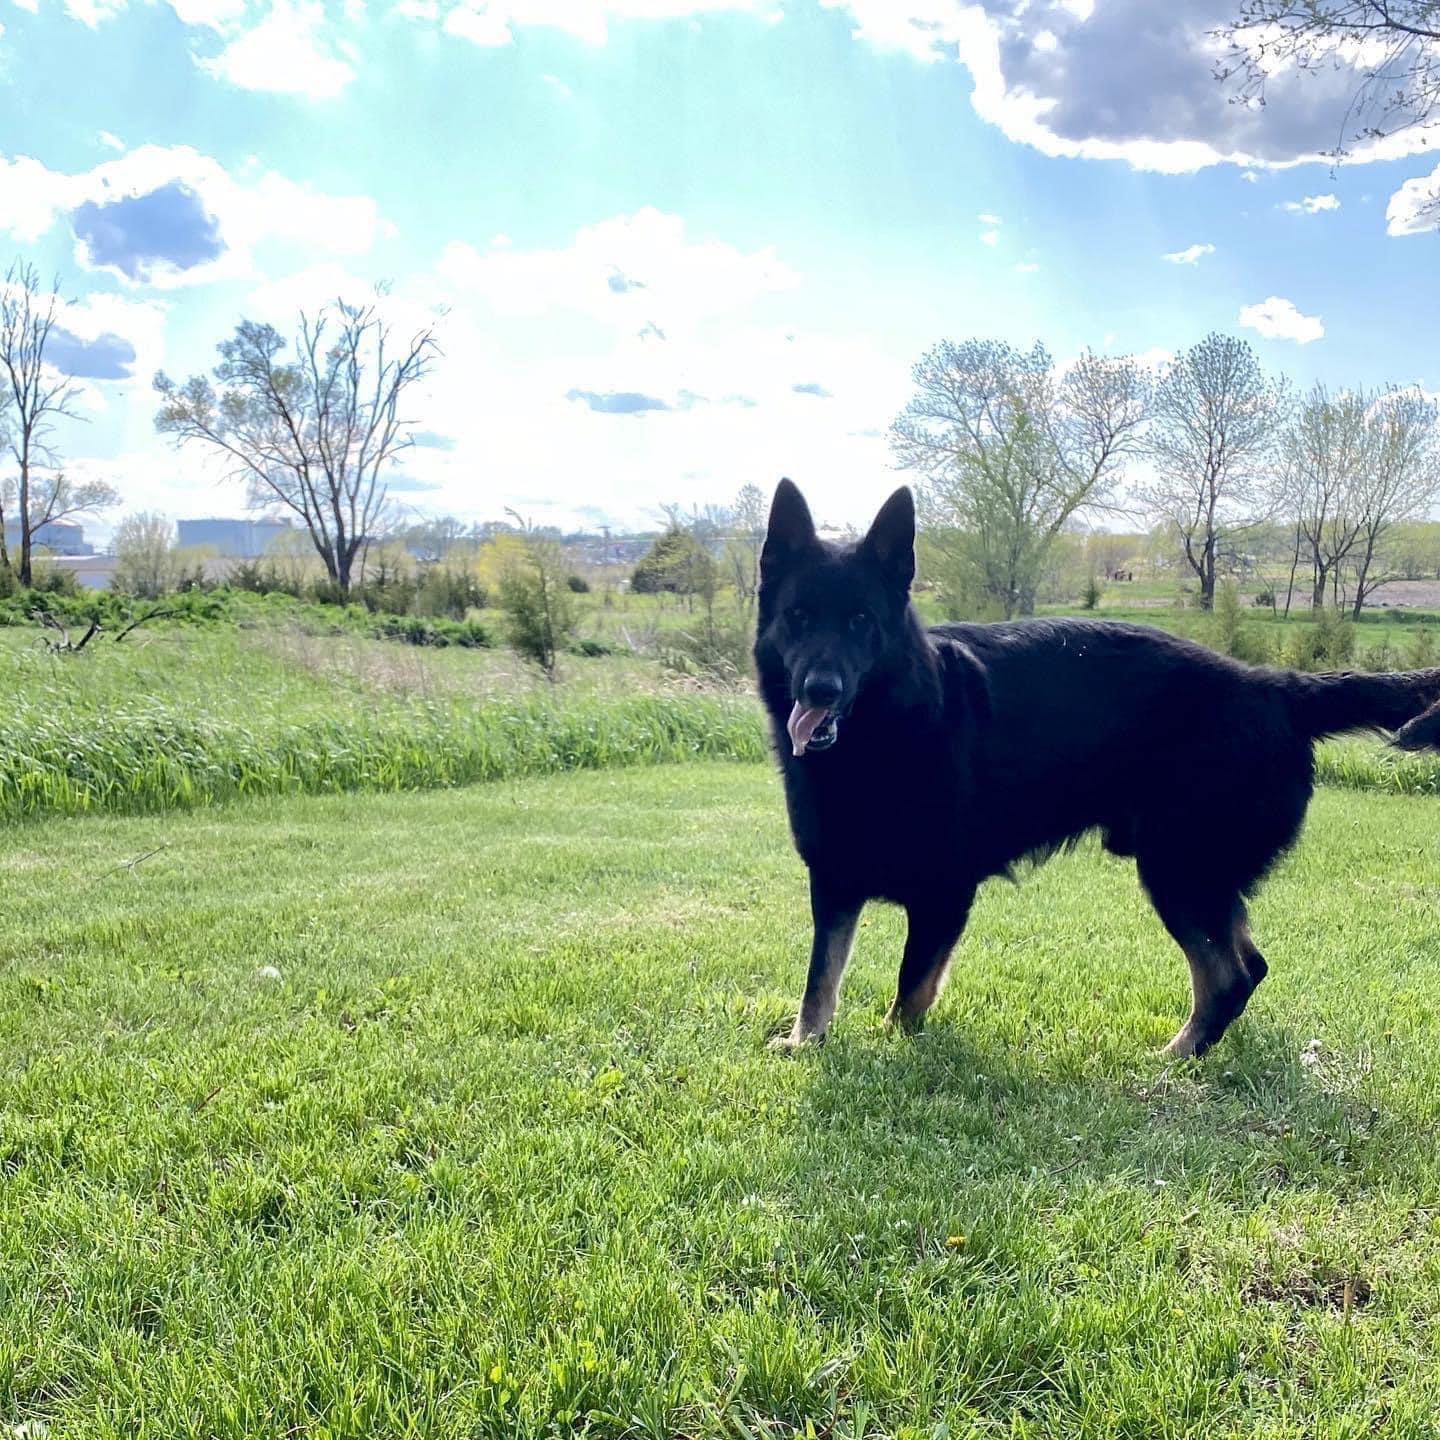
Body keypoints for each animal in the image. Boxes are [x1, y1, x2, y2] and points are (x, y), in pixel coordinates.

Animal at [754, 483, 1440, 1059]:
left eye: (860, 621)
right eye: (798, 617)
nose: (819, 689)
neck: (886, 732)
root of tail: (1272, 685)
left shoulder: (944, 894)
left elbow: (910, 988)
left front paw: (894, 1048)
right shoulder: (834, 885)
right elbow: (821, 976)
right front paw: (805, 1042)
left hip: (1180, 871)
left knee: (1229, 974)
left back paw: (1177, 1057)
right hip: (1198, 875)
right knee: (1249, 964)